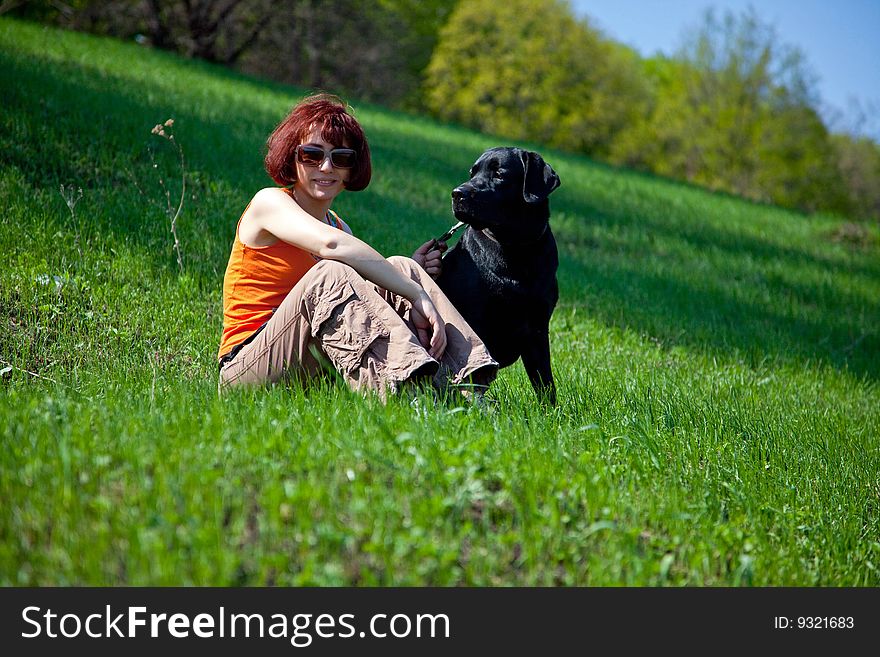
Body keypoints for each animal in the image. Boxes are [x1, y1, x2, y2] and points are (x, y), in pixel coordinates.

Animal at [434, 148, 564, 402]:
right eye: (472, 173)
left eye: (499, 174)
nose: (457, 193)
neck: (516, 249)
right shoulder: (472, 323)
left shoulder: (537, 330)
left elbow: (545, 383)